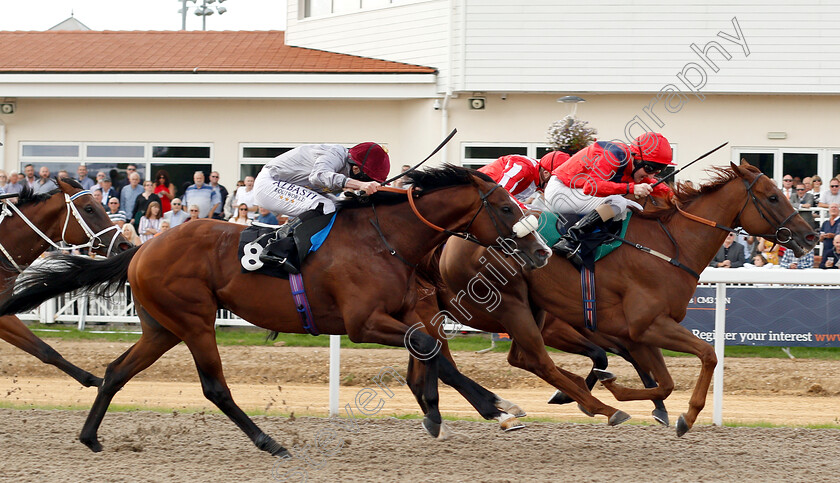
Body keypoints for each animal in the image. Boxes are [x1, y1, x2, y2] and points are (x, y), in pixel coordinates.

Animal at [436, 162, 816, 434]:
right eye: (772, 197)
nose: (810, 236)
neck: (670, 247)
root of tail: (455, 240)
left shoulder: (640, 334)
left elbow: (665, 383)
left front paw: (634, 397)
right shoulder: (647, 325)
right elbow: (708, 355)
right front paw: (687, 415)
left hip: (532, 311)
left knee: (520, 359)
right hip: (511, 307)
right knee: (535, 361)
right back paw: (593, 406)